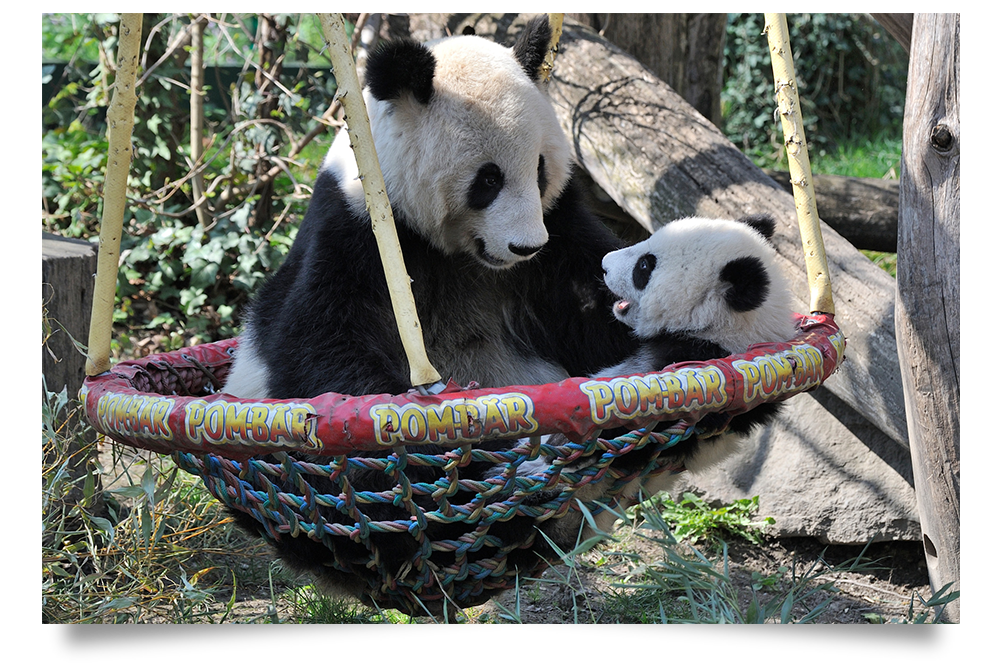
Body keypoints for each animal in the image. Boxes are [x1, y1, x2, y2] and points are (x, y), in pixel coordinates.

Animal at [223, 15, 636, 608]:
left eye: (539, 171)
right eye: (488, 179)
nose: (525, 246)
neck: (459, 253)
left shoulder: (557, 237)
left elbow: (594, 299)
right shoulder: (355, 234)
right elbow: (320, 349)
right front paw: (448, 445)